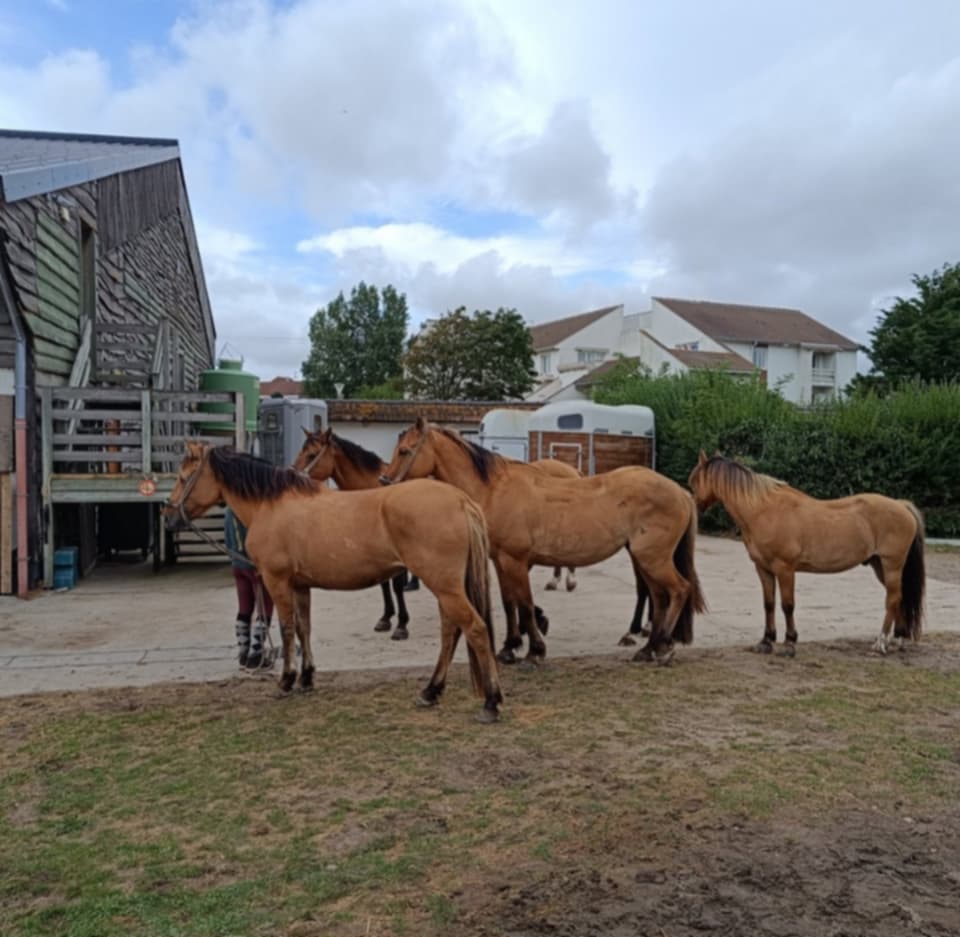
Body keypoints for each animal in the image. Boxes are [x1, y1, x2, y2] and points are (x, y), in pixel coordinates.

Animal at [381, 417, 705, 665]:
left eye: (405, 451)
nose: (385, 483)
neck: (495, 489)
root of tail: (679, 492)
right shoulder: (501, 561)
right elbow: (510, 603)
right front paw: (509, 647)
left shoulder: (515, 560)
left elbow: (525, 605)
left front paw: (534, 651)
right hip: (646, 559)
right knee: (659, 597)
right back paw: (648, 648)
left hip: (653, 558)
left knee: (679, 590)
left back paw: (663, 646)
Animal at [687, 451, 925, 656]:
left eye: (694, 481)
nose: (693, 506)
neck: (765, 511)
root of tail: (901, 505)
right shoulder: (763, 568)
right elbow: (769, 604)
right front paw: (766, 642)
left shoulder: (785, 568)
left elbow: (787, 605)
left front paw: (789, 644)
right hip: (879, 565)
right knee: (899, 597)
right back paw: (898, 639)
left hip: (891, 565)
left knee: (892, 599)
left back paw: (881, 643)